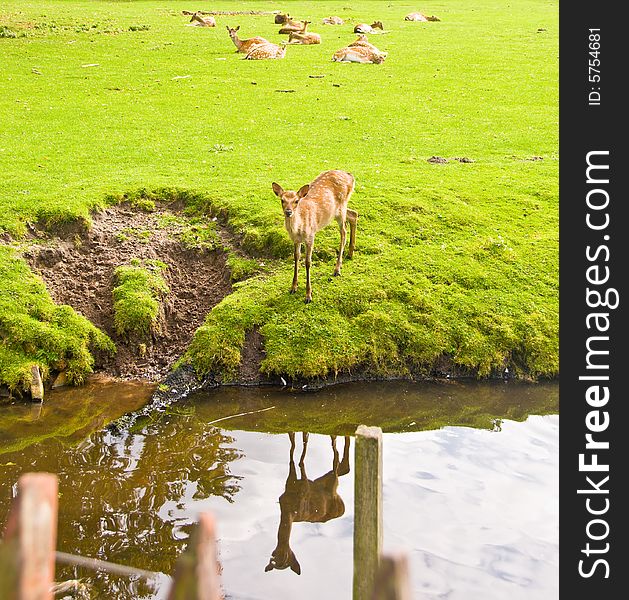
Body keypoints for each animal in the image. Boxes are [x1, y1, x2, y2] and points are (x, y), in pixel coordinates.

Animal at [264, 432, 350, 576]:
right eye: (274, 559)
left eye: (287, 558)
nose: (279, 555)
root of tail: (342, 508)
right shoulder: (287, 487)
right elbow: (292, 447)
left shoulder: (305, 488)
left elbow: (303, 455)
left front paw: (301, 462)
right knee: (341, 465)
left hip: (332, 484)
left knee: (336, 465)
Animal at [272, 171, 358, 304]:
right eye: (282, 200)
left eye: (296, 201)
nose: (288, 212)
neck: (298, 230)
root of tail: (351, 176)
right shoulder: (295, 240)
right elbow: (296, 258)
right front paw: (293, 287)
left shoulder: (310, 236)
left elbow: (308, 262)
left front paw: (308, 295)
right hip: (337, 211)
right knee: (354, 214)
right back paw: (350, 253)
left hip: (341, 208)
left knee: (344, 232)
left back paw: (337, 269)